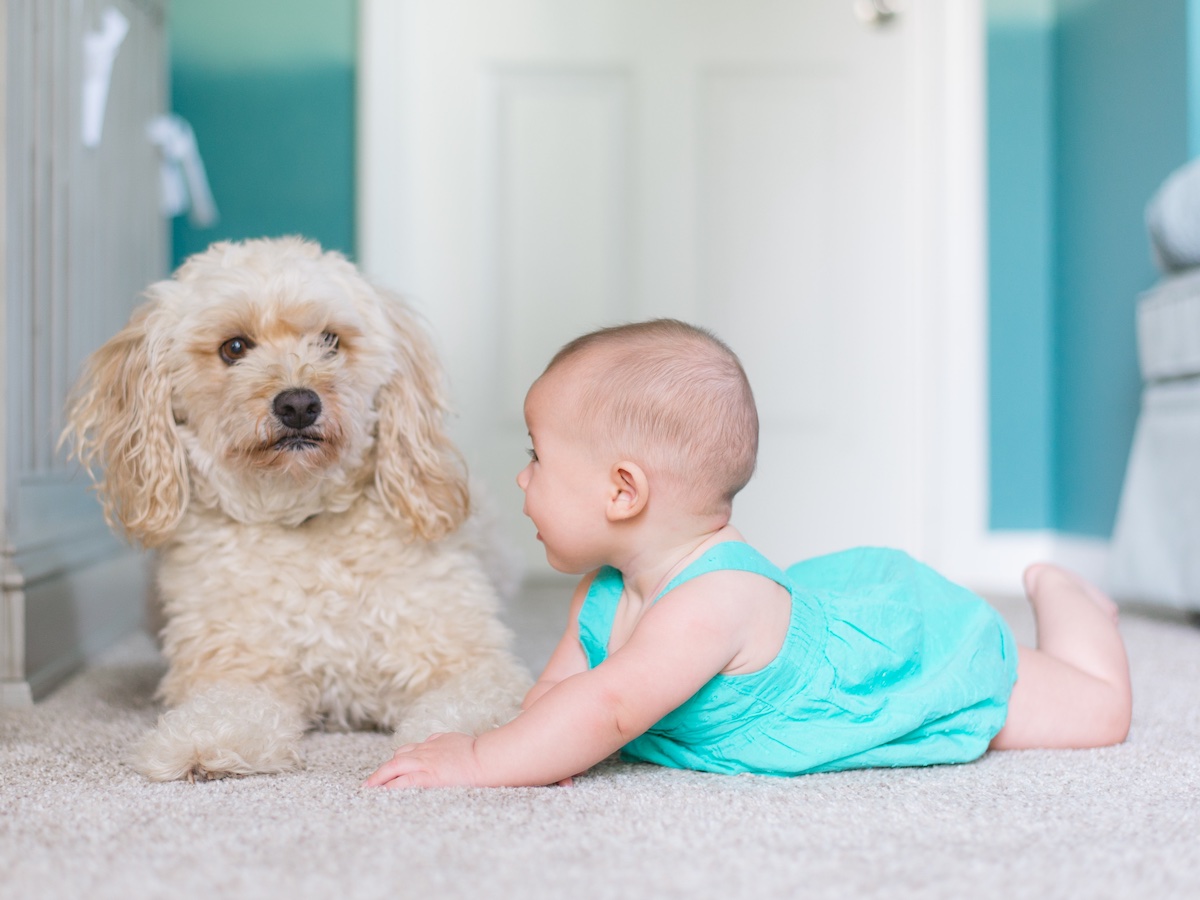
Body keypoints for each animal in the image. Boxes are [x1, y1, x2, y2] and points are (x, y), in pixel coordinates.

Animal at [63, 237, 532, 782]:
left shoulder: (468, 660)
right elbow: (228, 707)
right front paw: (204, 741)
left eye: (330, 340)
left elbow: (475, 706)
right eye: (234, 348)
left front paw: (462, 747)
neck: (301, 516)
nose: (298, 405)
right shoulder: (236, 667)